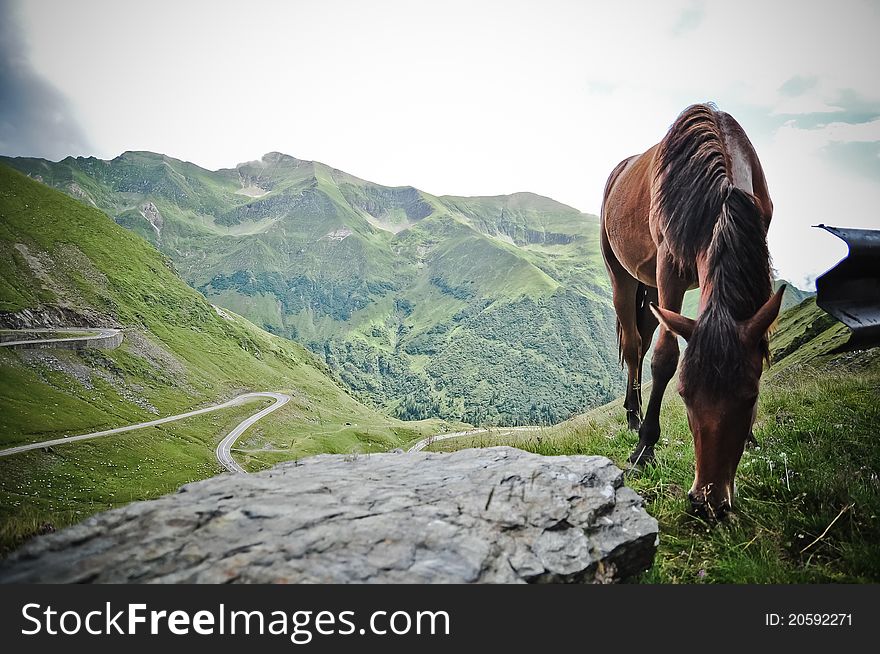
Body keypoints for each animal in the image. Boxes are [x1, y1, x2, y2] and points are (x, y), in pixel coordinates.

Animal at [600, 104, 784, 524]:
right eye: (683, 395)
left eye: (751, 395)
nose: (708, 501)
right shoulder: (670, 269)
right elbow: (665, 358)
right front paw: (644, 449)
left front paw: (752, 438)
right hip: (623, 276)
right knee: (634, 346)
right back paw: (634, 418)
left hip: (649, 287)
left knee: (642, 336)